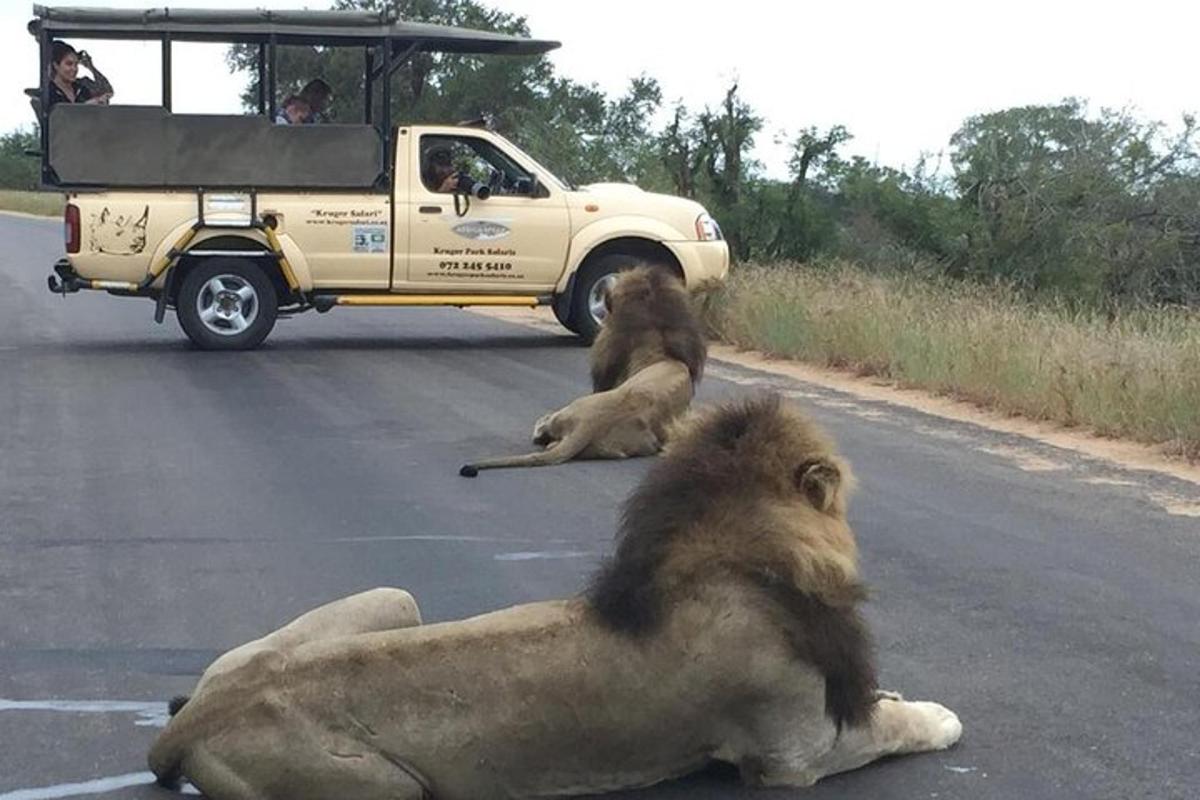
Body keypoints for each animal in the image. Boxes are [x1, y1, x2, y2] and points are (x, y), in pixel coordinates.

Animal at [150, 395, 960, 800]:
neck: (726, 553)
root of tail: (194, 722)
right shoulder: (791, 752)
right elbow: (896, 729)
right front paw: (938, 717)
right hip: (391, 791)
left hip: (389, 598)